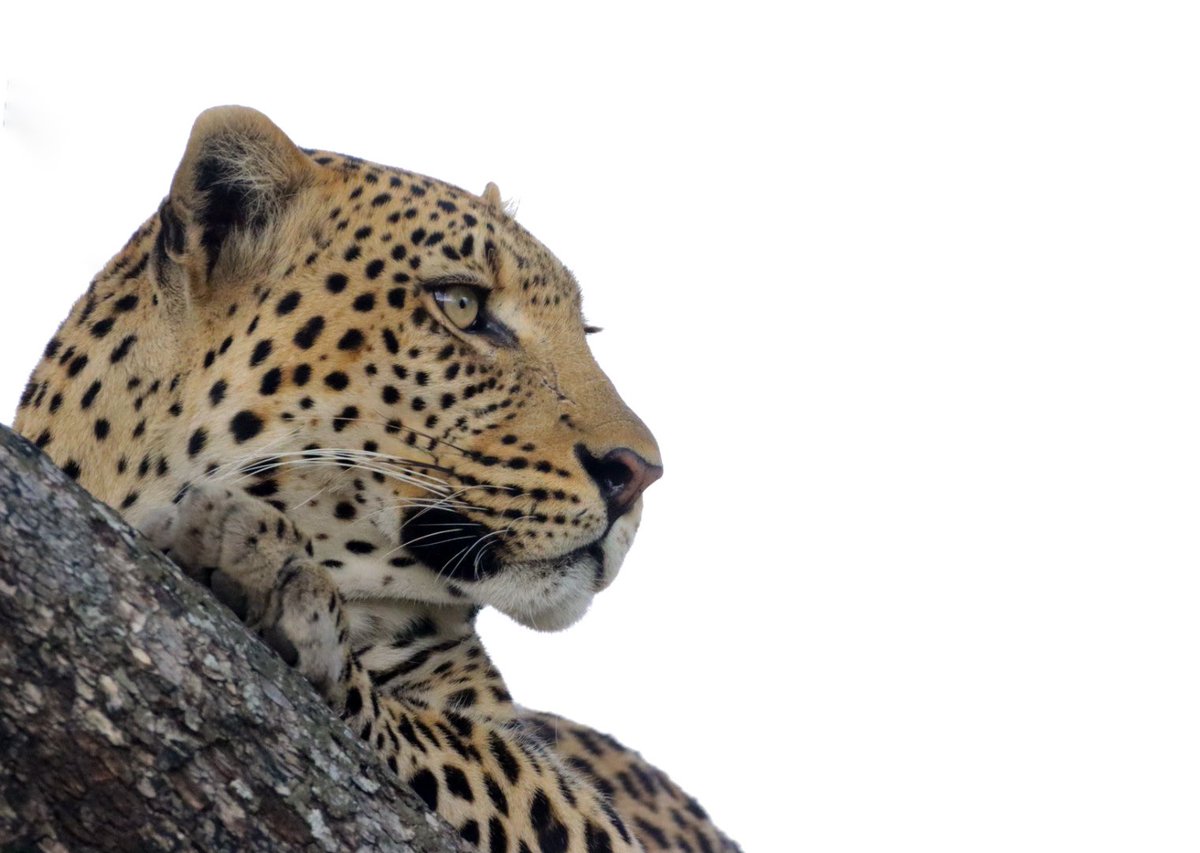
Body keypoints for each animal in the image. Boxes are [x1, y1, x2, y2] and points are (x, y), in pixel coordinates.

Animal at [13, 106, 739, 853]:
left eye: (584, 331)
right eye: (460, 305)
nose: (640, 473)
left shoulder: (597, 817)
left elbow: (476, 748)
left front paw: (265, 575)